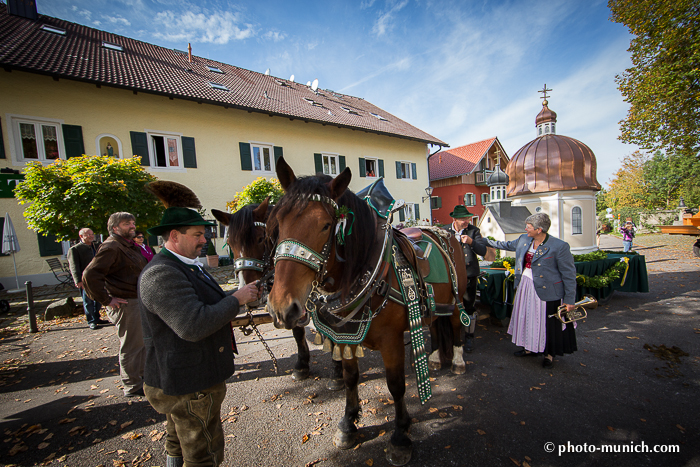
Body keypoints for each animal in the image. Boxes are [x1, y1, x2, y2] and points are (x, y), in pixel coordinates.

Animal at [213, 199, 344, 390]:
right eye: (230, 243)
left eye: (260, 238)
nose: (248, 290)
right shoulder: (289, 304)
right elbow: (298, 332)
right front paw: (302, 365)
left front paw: (337, 371)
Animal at [268, 156, 470, 464]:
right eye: (279, 222)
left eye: (326, 225)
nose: (282, 307)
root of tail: (443, 230)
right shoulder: (346, 338)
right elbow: (351, 379)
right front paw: (348, 424)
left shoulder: (391, 341)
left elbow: (396, 385)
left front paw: (400, 435)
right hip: (437, 303)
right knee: (437, 323)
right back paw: (435, 358)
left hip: (458, 298)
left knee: (456, 325)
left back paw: (457, 361)